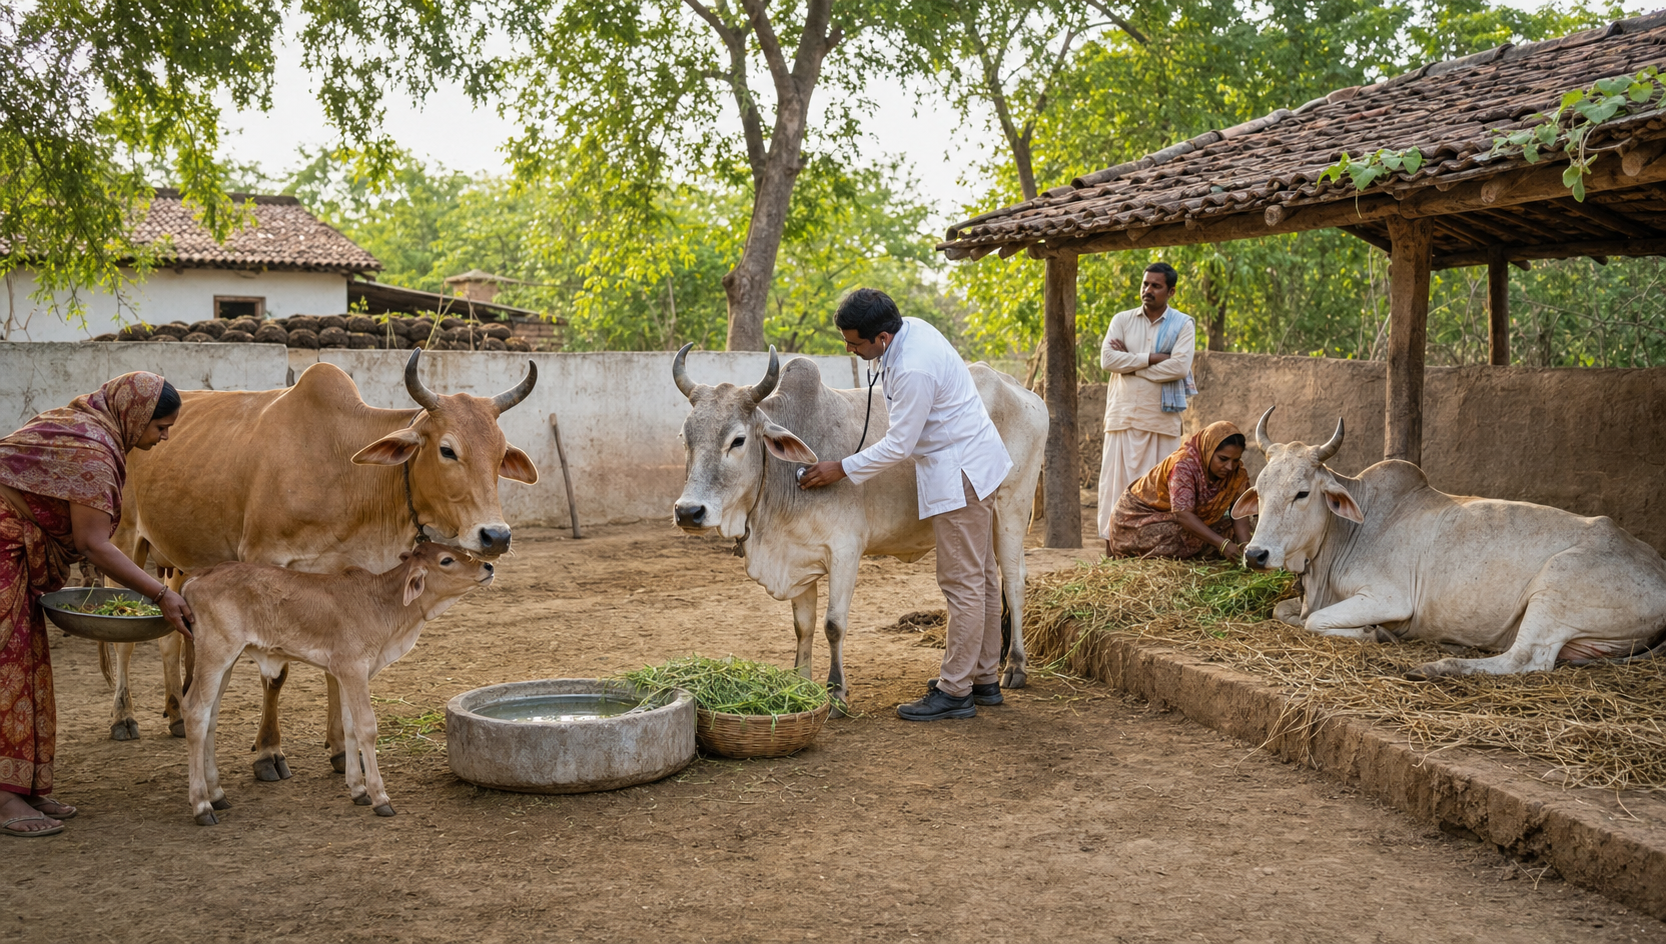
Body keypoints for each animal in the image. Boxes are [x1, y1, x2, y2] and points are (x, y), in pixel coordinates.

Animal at [107, 350, 537, 781]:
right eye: (447, 450)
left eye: (501, 454)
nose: (496, 536)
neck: (343, 468)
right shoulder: (264, 559)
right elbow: (276, 674)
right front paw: (268, 752)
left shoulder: (340, 578)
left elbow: (335, 671)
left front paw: (343, 751)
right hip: (125, 540)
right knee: (124, 639)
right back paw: (124, 717)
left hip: (181, 562)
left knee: (172, 637)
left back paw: (177, 713)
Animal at [182, 542, 494, 825]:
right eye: (446, 560)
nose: (488, 567)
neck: (381, 603)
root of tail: (199, 577)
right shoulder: (353, 668)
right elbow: (366, 727)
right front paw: (380, 797)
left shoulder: (346, 674)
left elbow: (349, 727)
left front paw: (358, 790)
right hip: (216, 654)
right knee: (195, 711)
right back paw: (202, 806)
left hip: (227, 663)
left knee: (210, 717)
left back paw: (217, 795)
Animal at [1233, 406, 1666, 679]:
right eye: (1260, 489)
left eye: (1302, 493)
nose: (1256, 554)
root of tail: (1658, 566)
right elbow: (1284, 612)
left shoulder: (1390, 597)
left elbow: (1313, 621)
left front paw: (1375, 632)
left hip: (1555, 588)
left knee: (1525, 659)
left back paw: (1435, 667)